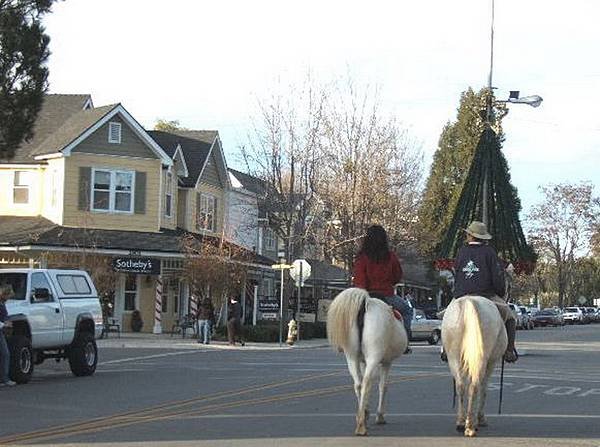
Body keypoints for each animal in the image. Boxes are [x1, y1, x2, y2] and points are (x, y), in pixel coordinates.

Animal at [328, 288, 408, 438]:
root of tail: (365, 304)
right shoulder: (387, 362)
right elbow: (383, 386)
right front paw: (380, 416)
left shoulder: (362, 361)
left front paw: (366, 411)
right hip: (374, 356)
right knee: (366, 383)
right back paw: (361, 426)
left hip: (351, 357)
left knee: (359, 384)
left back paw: (362, 418)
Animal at [440, 296, 506, 440]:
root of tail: (469, 301)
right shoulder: (491, 362)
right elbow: (484, 389)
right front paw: (481, 419)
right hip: (483, 359)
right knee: (476, 386)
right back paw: (471, 425)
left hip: (454, 357)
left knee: (461, 386)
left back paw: (461, 422)